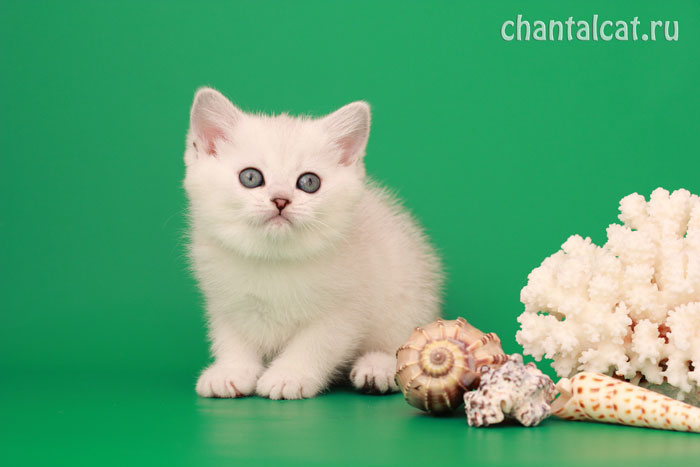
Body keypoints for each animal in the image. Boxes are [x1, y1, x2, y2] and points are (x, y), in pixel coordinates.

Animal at [183, 87, 440, 398]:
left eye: (308, 182)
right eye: (250, 177)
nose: (281, 200)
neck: (274, 259)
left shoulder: (344, 308)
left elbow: (315, 344)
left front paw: (289, 375)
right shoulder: (225, 299)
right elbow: (232, 337)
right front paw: (232, 371)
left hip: (408, 295)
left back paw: (377, 368)